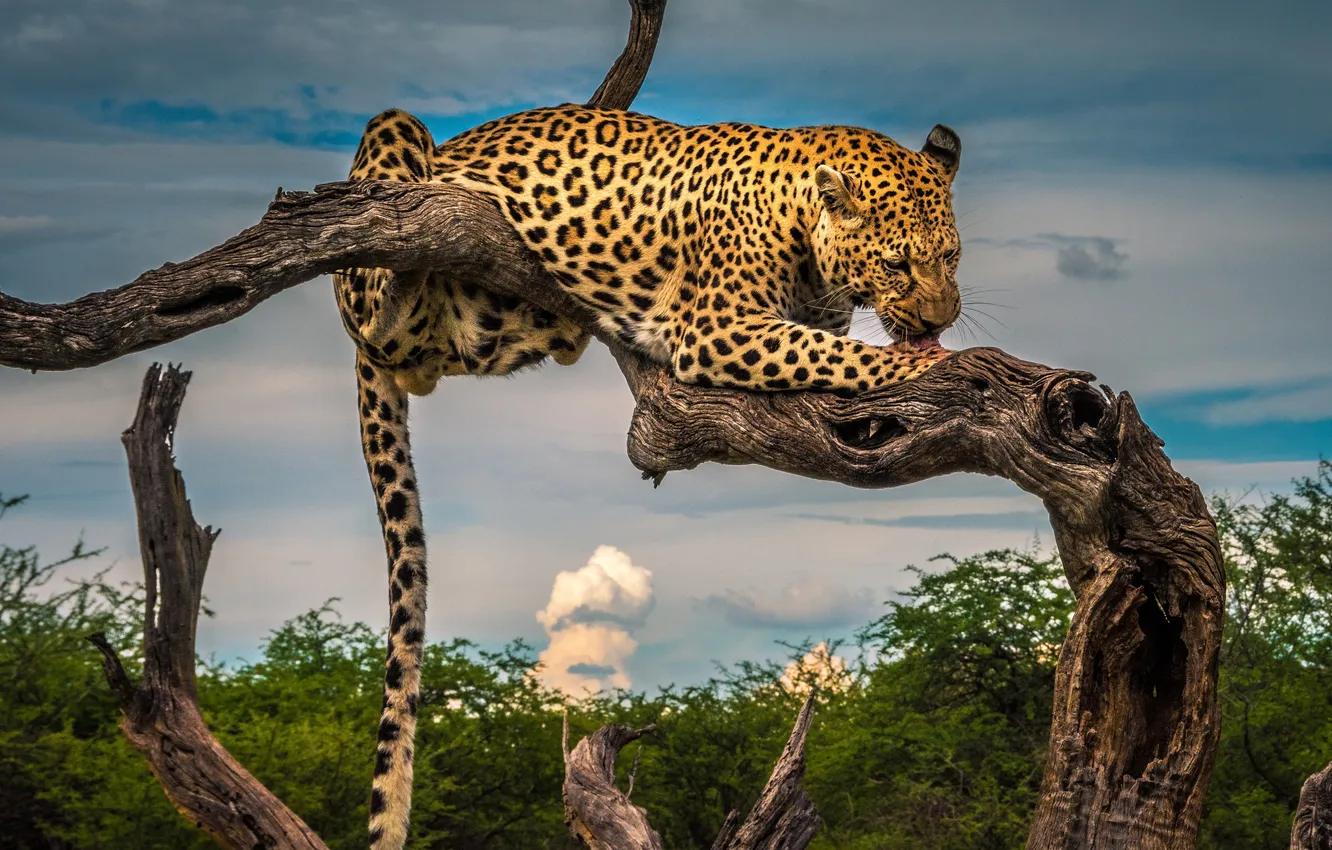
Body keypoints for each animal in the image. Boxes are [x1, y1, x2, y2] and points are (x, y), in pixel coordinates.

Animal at [333, 103, 963, 850]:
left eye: (951, 256)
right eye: (897, 263)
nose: (943, 317)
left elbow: (835, 362)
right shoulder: (722, 329)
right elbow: (839, 354)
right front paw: (933, 361)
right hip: (390, 166)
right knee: (378, 291)